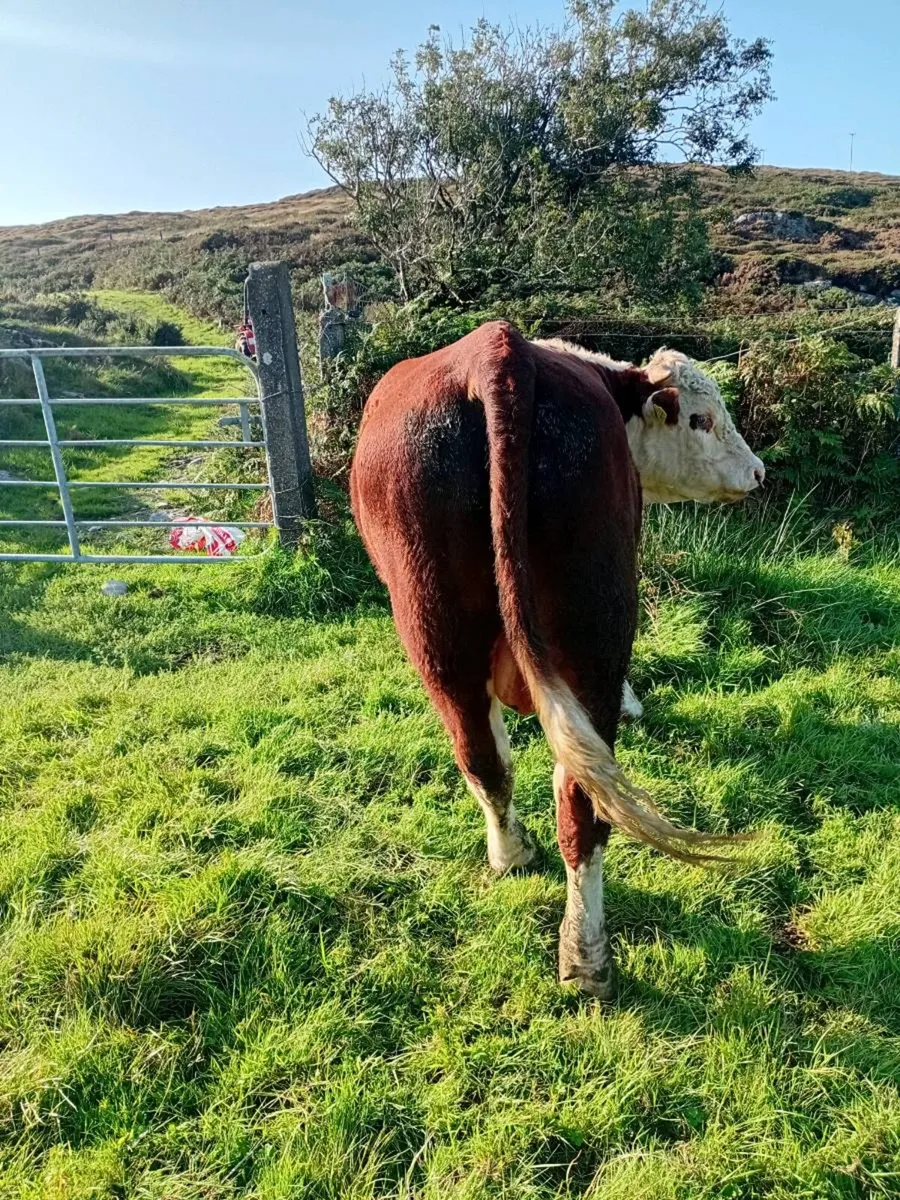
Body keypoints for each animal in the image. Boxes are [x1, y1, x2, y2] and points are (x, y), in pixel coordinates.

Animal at [350, 321, 763, 997]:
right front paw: (634, 703)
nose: (756, 472)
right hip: (579, 635)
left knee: (495, 763)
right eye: (701, 419)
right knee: (572, 797)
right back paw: (586, 953)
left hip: (439, 632)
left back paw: (517, 862)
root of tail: (498, 354)